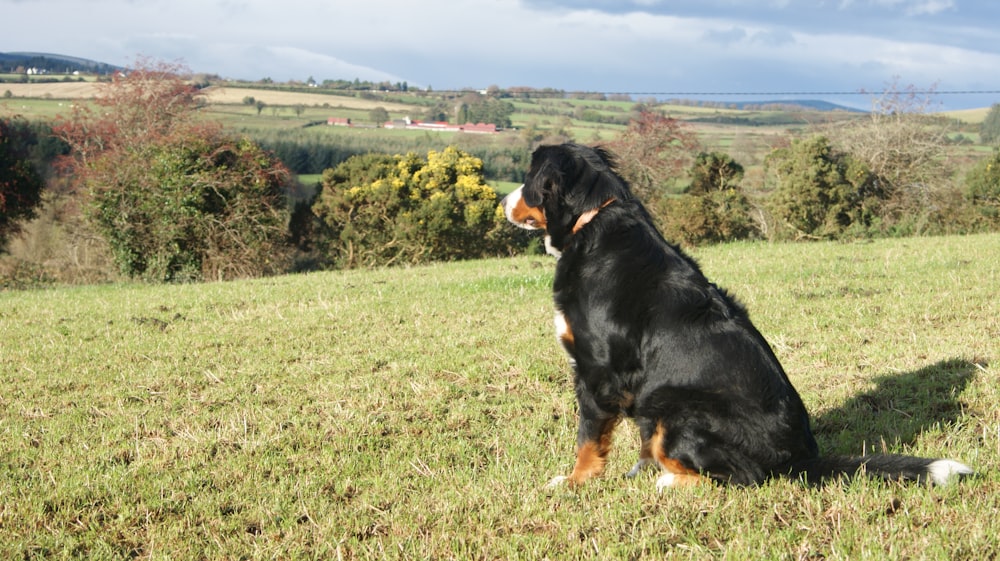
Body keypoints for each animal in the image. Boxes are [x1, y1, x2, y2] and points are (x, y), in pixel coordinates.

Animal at [504, 142, 972, 488]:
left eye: (528, 180)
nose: (502, 201)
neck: (592, 223)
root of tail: (799, 459)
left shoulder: (597, 371)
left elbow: (588, 438)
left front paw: (574, 481)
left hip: (675, 408)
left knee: (741, 476)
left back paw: (670, 481)